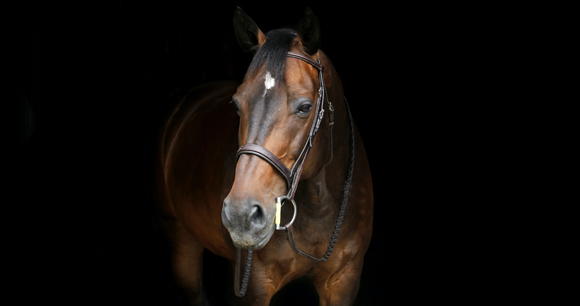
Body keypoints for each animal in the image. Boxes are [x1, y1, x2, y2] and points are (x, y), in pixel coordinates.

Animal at [154, 7, 374, 306]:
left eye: (305, 107)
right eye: (237, 104)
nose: (241, 214)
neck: (320, 206)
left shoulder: (343, 280)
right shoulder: (256, 285)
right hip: (181, 242)